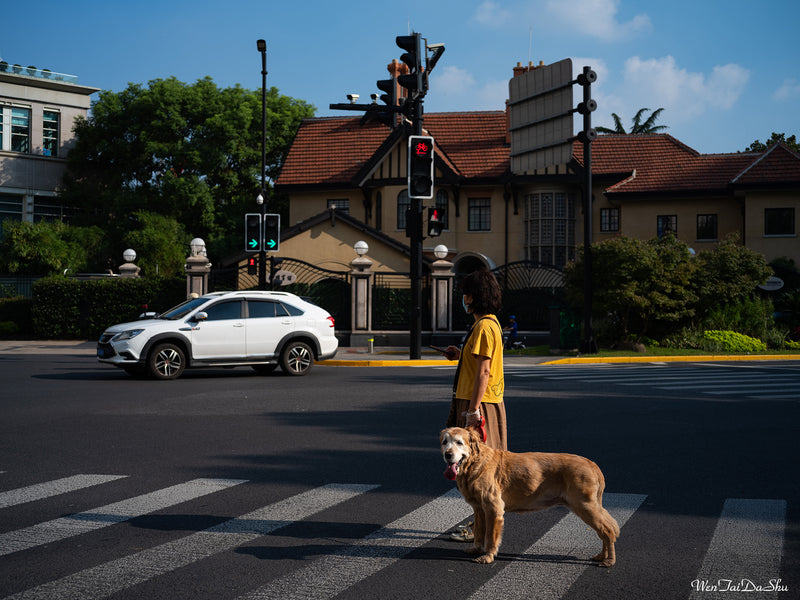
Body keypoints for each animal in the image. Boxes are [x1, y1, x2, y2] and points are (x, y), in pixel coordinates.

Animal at [440, 424, 620, 564]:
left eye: (459, 442)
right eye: (444, 442)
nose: (447, 454)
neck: (474, 463)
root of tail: (592, 464)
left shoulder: (493, 508)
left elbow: (491, 535)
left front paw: (488, 556)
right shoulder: (479, 508)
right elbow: (479, 530)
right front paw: (476, 548)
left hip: (585, 505)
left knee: (608, 530)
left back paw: (609, 560)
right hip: (589, 506)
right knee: (605, 529)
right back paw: (602, 556)